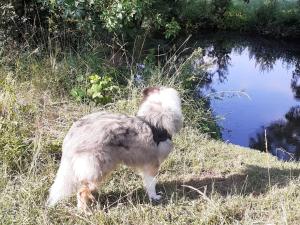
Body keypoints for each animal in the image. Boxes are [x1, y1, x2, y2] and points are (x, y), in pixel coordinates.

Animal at [47, 86, 183, 211]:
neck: (155, 119)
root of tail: (72, 136)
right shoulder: (152, 165)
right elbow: (151, 184)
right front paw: (154, 197)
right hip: (99, 168)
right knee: (82, 191)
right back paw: (85, 211)